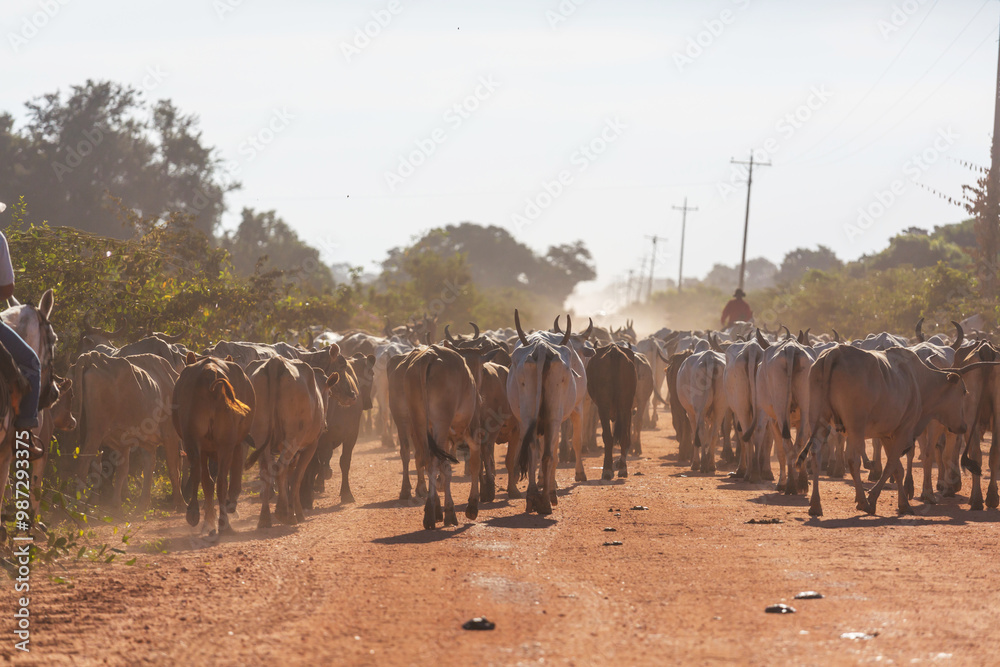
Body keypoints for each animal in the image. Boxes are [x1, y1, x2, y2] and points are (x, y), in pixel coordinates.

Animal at [172, 352, 255, 536]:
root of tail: (209, 370)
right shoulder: (235, 444)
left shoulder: (203, 448)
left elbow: (206, 481)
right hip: (225, 443)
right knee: (222, 481)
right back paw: (224, 523)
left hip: (193, 439)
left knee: (200, 474)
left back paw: (194, 513)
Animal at [587, 344, 638, 479]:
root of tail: (614, 351)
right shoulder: (628, 410)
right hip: (625, 405)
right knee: (624, 436)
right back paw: (623, 469)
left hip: (603, 407)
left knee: (608, 437)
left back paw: (607, 470)